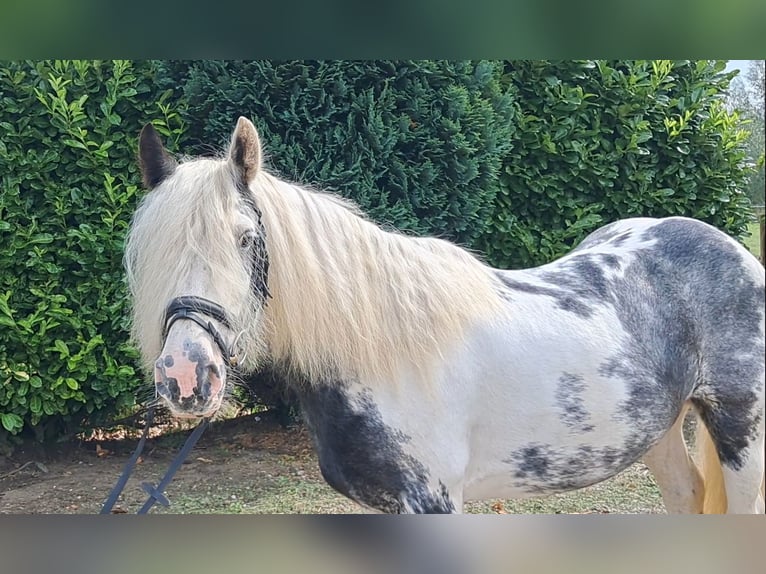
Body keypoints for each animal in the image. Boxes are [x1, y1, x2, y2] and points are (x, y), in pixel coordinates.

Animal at [123, 118, 764, 516]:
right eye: (149, 250)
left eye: (247, 239)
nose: (185, 376)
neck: (381, 354)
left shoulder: (434, 499)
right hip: (659, 431)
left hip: (741, 435)